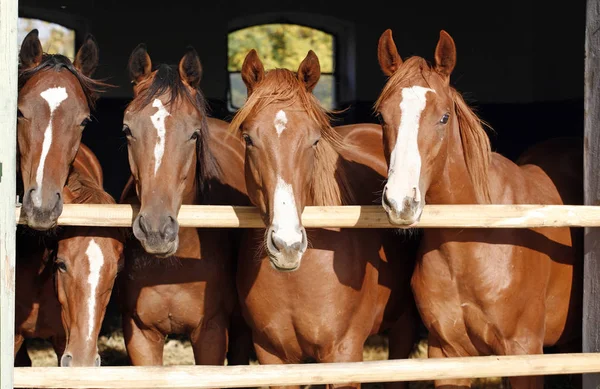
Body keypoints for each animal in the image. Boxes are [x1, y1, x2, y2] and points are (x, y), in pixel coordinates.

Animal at [227, 48, 420, 388]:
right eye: (248, 139)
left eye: (314, 140)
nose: (287, 245)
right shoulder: (272, 356)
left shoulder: (343, 354)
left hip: (403, 324)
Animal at [376, 28, 580, 386]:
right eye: (383, 117)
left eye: (444, 117)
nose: (400, 202)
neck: (473, 241)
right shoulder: (448, 354)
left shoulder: (523, 352)